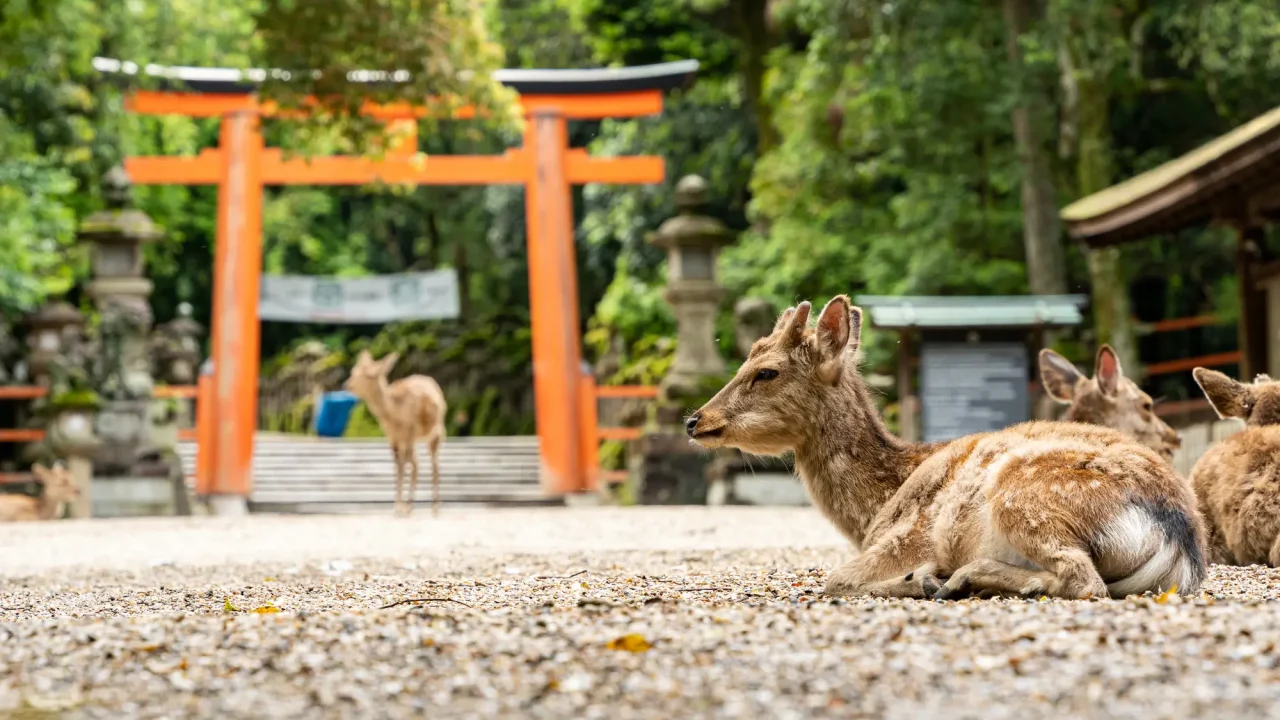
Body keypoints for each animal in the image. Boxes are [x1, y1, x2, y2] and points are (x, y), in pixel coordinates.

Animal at [345, 348, 450, 512]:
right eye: (353, 371)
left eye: (370, 375)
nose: (347, 385)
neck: (392, 413)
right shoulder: (392, 437)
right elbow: (399, 466)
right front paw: (399, 505)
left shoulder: (407, 432)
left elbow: (403, 466)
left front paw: (399, 507)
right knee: (418, 464)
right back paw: (412, 505)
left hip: (436, 430)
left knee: (432, 464)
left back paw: (433, 507)